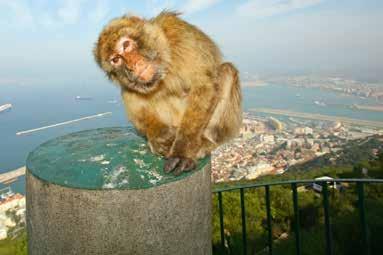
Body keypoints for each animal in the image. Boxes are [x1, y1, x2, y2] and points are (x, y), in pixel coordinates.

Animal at [94, 11, 243, 175]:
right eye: (116, 59)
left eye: (126, 45)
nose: (132, 65)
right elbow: (137, 107)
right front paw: (160, 137)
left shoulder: (181, 35)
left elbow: (204, 85)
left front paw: (181, 152)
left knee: (227, 70)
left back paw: (206, 142)